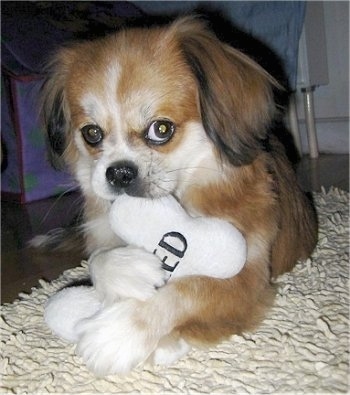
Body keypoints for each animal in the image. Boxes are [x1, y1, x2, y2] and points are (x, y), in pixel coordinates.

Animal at [41, 17, 318, 378]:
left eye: (161, 130)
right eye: (92, 134)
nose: (119, 172)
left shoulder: (247, 279)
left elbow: (188, 291)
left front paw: (120, 333)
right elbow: (98, 258)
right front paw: (130, 270)